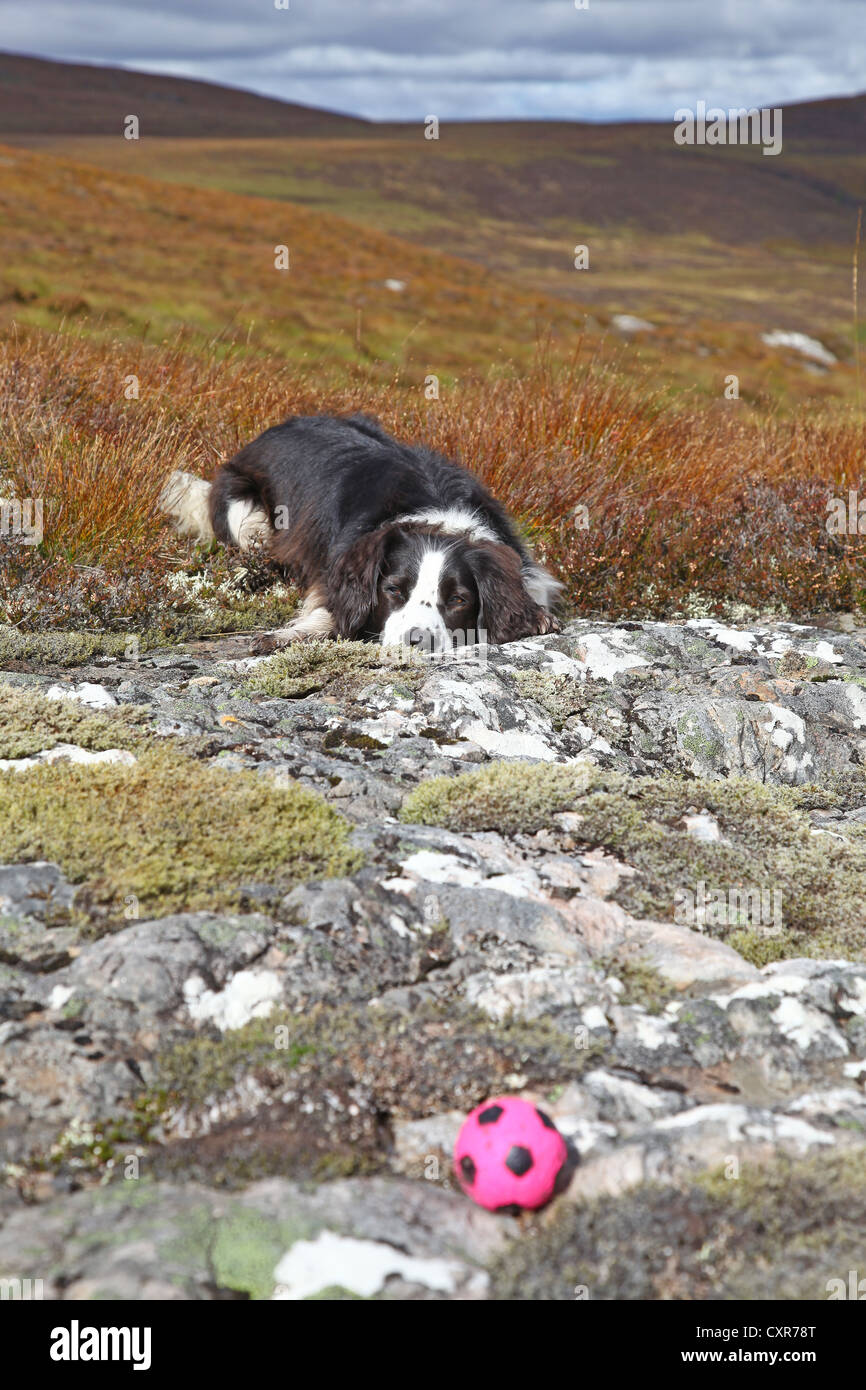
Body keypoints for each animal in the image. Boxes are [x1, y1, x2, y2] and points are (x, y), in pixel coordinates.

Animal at [161, 408, 561, 653]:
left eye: (459, 600)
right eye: (393, 590)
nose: (419, 642)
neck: (438, 513)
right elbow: (332, 607)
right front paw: (290, 633)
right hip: (245, 510)